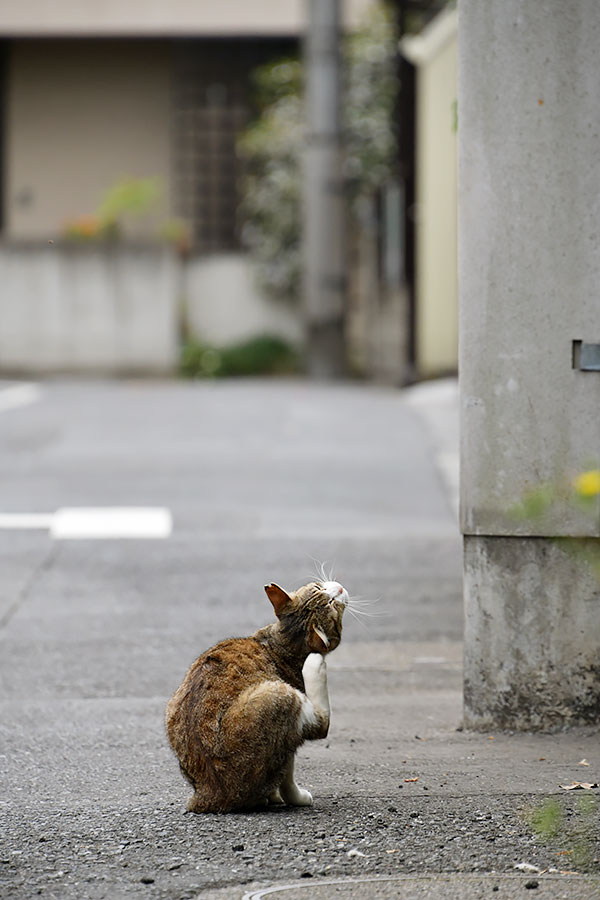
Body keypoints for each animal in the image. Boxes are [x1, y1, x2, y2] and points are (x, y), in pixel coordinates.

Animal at [166, 580, 350, 812]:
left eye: (321, 590)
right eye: (327, 598)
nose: (340, 589)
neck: (282, 642)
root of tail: (209, 795)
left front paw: (273, 796)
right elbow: (288, 777)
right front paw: (295, 797)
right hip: (280, 694)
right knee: (321, 725)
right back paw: (315, 666)